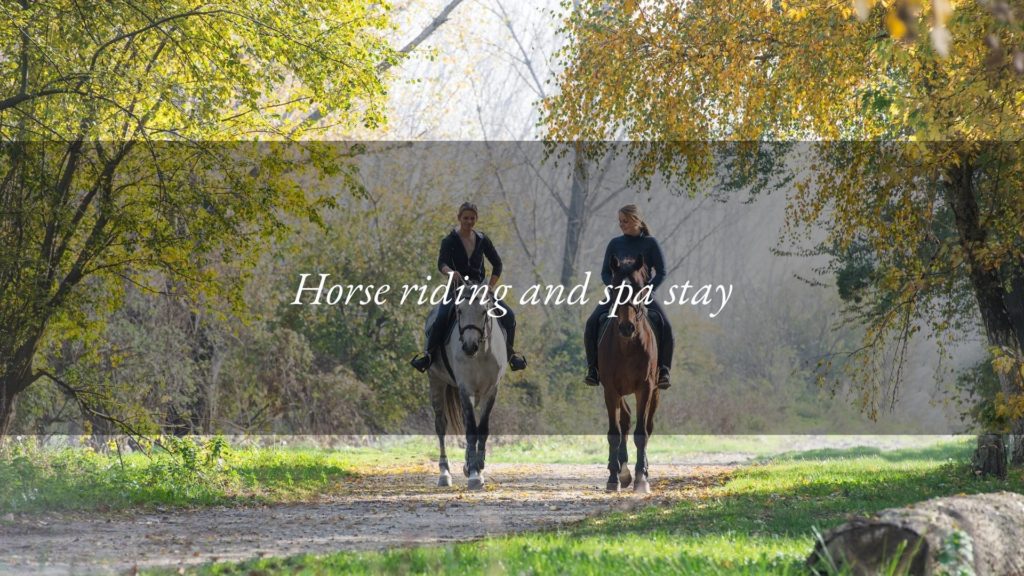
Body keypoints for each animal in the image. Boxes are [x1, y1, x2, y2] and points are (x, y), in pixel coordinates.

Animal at [425, 282, 505, 487]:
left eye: (484, 311)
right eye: (459, 310)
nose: (469, 346)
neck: (481, 353)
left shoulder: (491, 389)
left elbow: (481, 428)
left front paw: (477, 466)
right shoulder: (464, 388)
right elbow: (470, 429)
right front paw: (475, 474)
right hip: (436, 381)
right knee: (441, 425)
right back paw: (444, 474)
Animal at [598, 255, 659, 494]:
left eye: (639, 288)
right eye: (615, 287)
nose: (626, 327)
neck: (627, 346)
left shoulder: (645, 388)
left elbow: (641, 433)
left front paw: (641, 479)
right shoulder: (610, 389)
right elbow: (614, 433)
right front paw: (614, 478)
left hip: (655, 392)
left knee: (647, 426)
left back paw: (643, 470)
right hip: (620, 392)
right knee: (624, 421)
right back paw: (622, 471)